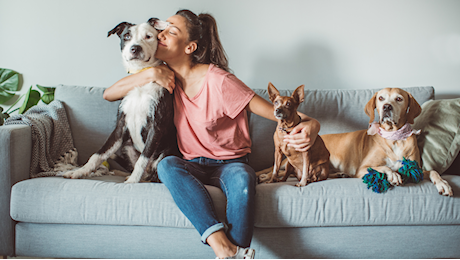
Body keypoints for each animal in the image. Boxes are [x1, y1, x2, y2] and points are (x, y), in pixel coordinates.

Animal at [62, 17, 175, 183]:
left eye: (148, 36)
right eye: (127, 36)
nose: (135, 48)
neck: (140, 77)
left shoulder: (156, 126)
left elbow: (143, 159)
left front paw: (132, 181)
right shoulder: (120, 126)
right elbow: (98, 155)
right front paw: (80, 171)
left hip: (165, 152)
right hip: (126, 146)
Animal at [322, 88, 454, 196]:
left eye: (399, 98)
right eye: (381, 98)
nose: (386, 107)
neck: (394, 137)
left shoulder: (416, 169)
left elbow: (433, 171)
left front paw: (443, 184)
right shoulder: (362, 168)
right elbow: (383, 167)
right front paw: (393, 175)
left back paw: (340, 174)